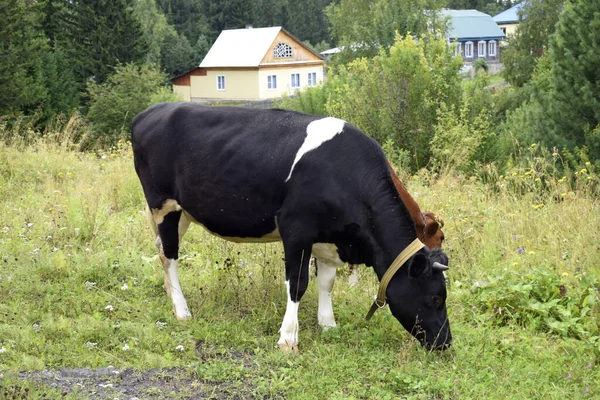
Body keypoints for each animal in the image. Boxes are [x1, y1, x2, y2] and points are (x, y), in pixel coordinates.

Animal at [130, 102, 450, 350]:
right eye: (436, 297)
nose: (446, 343)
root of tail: (151, 111)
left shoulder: (329, 239)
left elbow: (327, 282)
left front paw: (328, 324)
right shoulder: (296, 230)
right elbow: (297, 283)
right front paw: (288, 338)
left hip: (182, 212)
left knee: (161, 250)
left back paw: (170, 296)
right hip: (163, 205)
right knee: (170, 256)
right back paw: (182, 310)